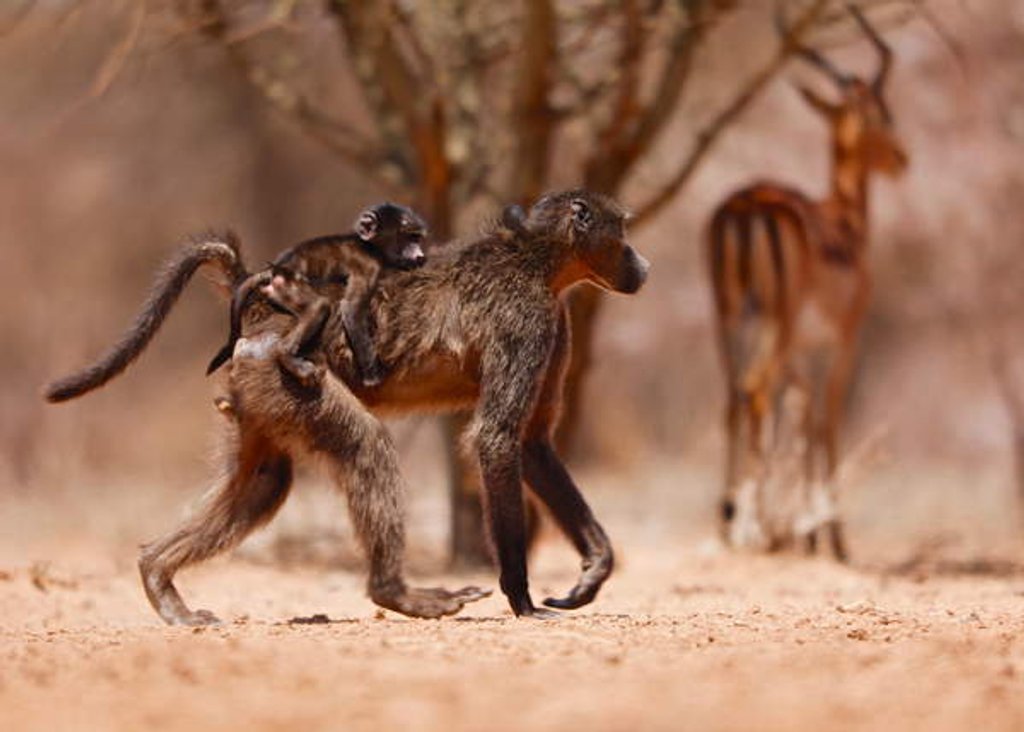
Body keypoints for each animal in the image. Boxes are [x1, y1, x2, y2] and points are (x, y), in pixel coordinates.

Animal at [206, 202, 428, 386]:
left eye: (417, 238)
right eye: (409, 236)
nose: (420, 256)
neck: (368, 246)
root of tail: (275, 271)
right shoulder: (368, 266)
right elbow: (352, 310)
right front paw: (372, 377)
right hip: (287, 287)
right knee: (318, 307)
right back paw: (287, 356)